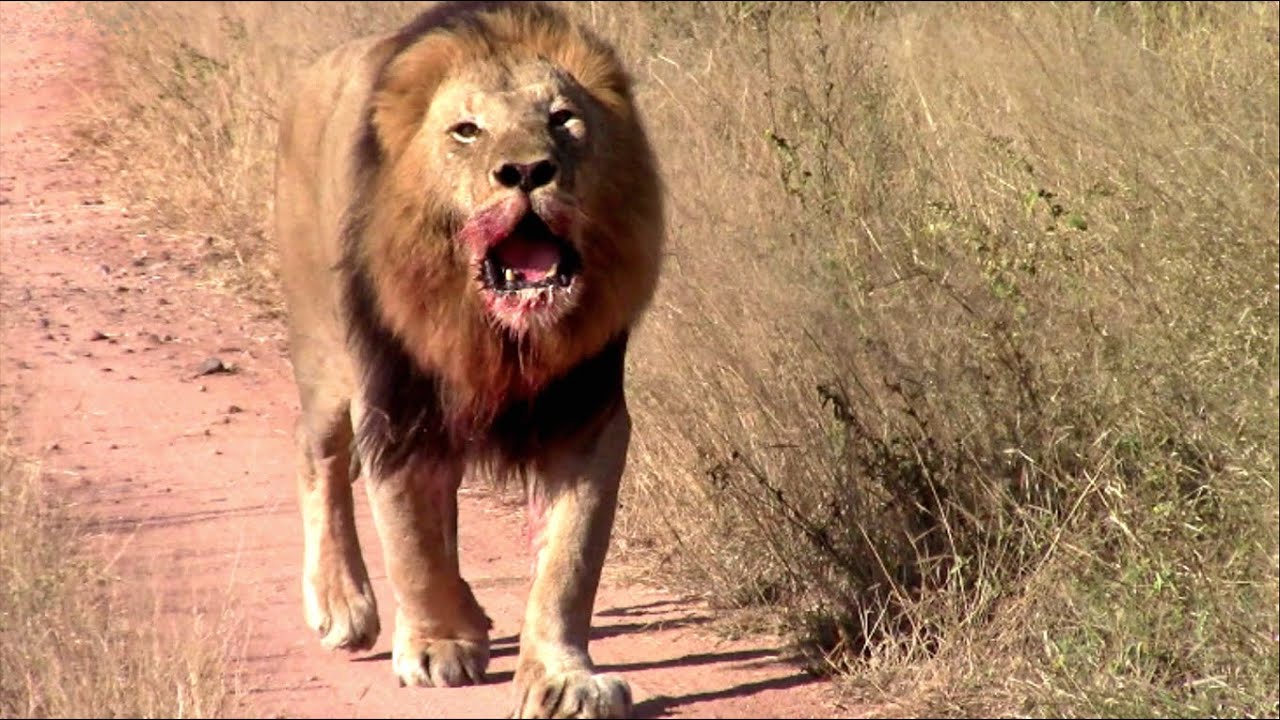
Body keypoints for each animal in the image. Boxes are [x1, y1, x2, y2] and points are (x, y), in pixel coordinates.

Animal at [272, 2, 664, 718]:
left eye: (563, 119)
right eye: (466, 131)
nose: (528, 172)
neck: (494, 336)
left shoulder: (587, 416)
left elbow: (570, 561)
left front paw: (562, 677)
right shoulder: (396, 404)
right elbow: (409, 539)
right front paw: (435, 647)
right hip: (322, 347)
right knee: (318, 451)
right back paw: (343, 603)